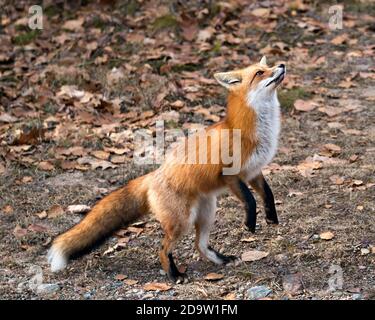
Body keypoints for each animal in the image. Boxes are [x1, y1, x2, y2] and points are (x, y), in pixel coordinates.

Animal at [48, 56, 286, 282]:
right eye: (259, 73)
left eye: (268, 66)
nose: (282, 65)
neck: (249, 131)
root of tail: (153, 175)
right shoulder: (230, 174)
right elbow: (250, 200)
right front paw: (250, 223)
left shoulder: (253, 172)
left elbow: (268, 194)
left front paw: (271, 217)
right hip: (182, 222)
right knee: (163, 250)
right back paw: (174, 275)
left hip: (207, 213)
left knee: (200, 246)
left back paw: (221, 259)